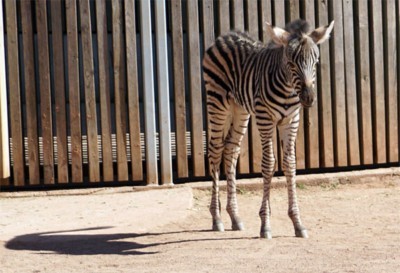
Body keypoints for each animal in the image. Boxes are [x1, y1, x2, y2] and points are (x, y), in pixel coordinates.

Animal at [203, 19, 334, 238]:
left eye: (315, 62)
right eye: (291, 63)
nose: (308, 98)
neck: (289, 89)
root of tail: (225, 36)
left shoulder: (291, 121)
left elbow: (290, 164)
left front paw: (297, 222)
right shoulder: (265, 119)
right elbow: (268, 163)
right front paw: (265, 223)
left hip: (240, 110)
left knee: (231, 150)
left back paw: (234, 217)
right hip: (217, 103)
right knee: (215, 152)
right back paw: (217, 218)